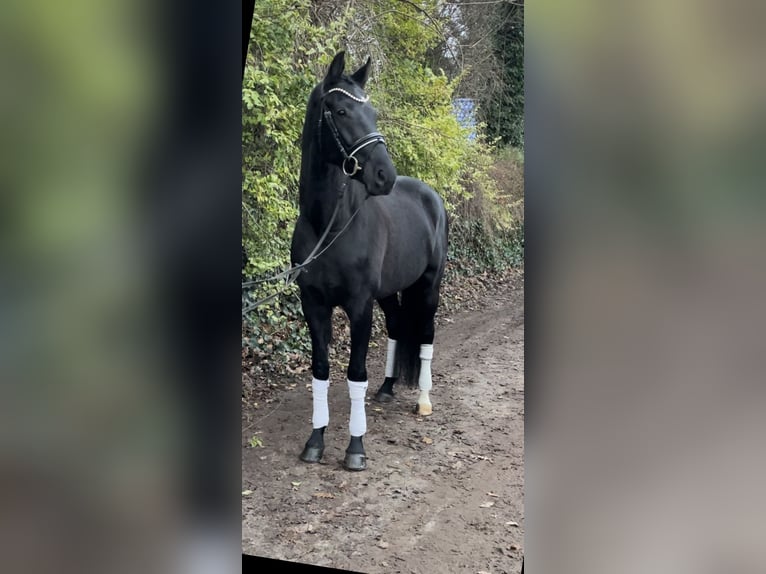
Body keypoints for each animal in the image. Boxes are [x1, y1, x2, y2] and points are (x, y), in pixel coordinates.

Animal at [292, 50, 450, 472]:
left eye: (374, 113)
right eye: (341, 111)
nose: (384, 176)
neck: (330, 226)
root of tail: (430, 195)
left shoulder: (359, 306)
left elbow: (355, 373)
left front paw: (355, 448)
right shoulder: (314, 306)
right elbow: (320, 371)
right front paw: (315, 442)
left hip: (429, 287)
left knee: (426, 335)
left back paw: (423, 400)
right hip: (390, 291)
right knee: (396, 326)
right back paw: (388, 388)